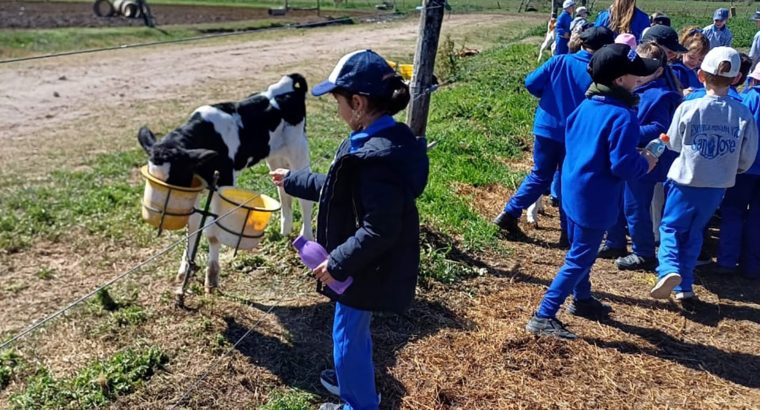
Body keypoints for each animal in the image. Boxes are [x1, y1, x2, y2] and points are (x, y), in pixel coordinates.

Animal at [138, 73, 314, 292]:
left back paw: (307, 238)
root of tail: (288, 85)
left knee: (304, 197)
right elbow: (192, 227)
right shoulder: (195, 188)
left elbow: (213, 233)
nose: (157, 214)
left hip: (299, 151)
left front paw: (211, 277)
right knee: (283, 189)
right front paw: (185, 269)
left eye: (175, 179)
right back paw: (285, 231)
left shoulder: (223, 183)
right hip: (275, 157)